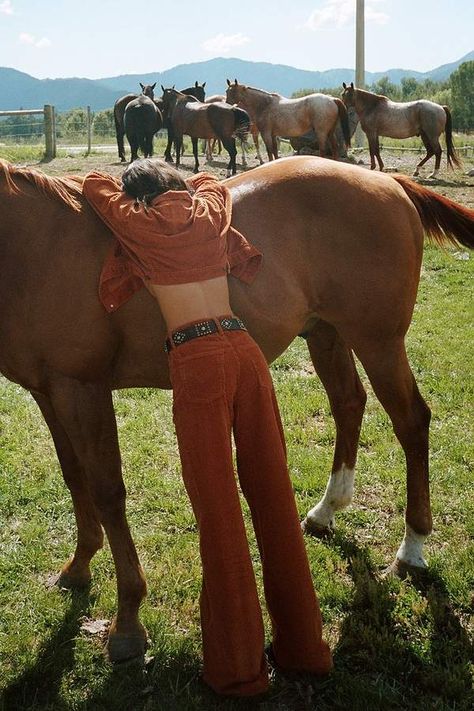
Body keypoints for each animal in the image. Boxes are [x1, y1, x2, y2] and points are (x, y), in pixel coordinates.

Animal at [0, 156, 474, 660]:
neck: (42, 241)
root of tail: (388, 181)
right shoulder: (49, 392)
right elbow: (76, 480)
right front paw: (78, 568)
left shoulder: (83, 390)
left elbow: (108, 492)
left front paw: (127, 620)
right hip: (326, 333)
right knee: (349, 403)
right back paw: (326, 511)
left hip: (379, 342)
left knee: (412, 422)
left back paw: (412, 548)